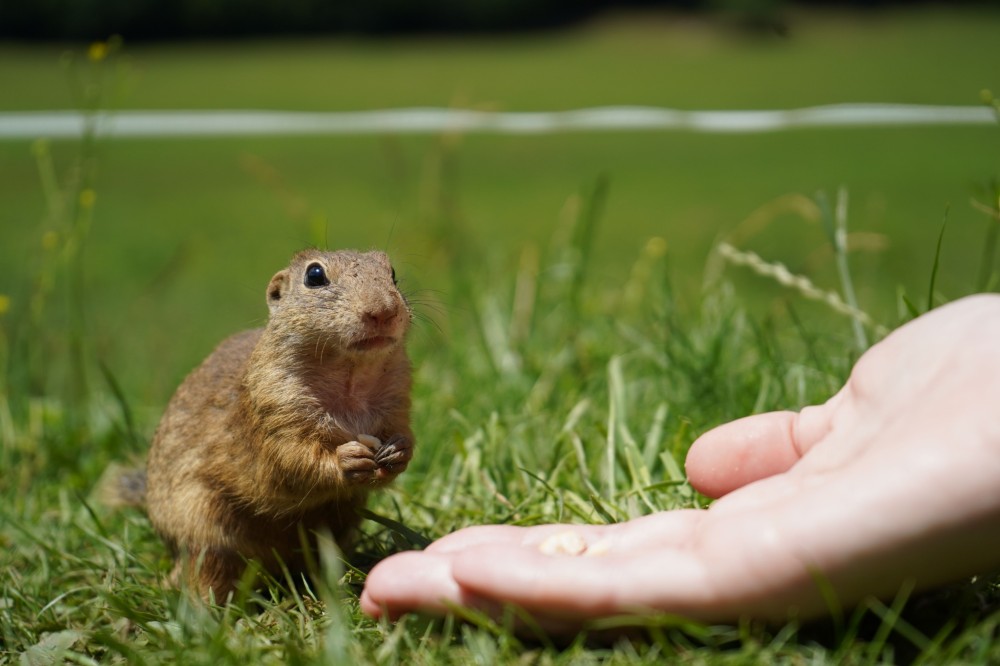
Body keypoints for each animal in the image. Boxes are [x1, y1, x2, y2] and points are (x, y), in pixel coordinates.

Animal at [136, 248, 410, 596]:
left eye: (393, 273)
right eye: (314, 276)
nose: (383, 311)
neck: (350, 375)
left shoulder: (397, 401)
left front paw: (399, 451)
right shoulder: (274, 413)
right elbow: (291, 463)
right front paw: (347, 459)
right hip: (206, 534)